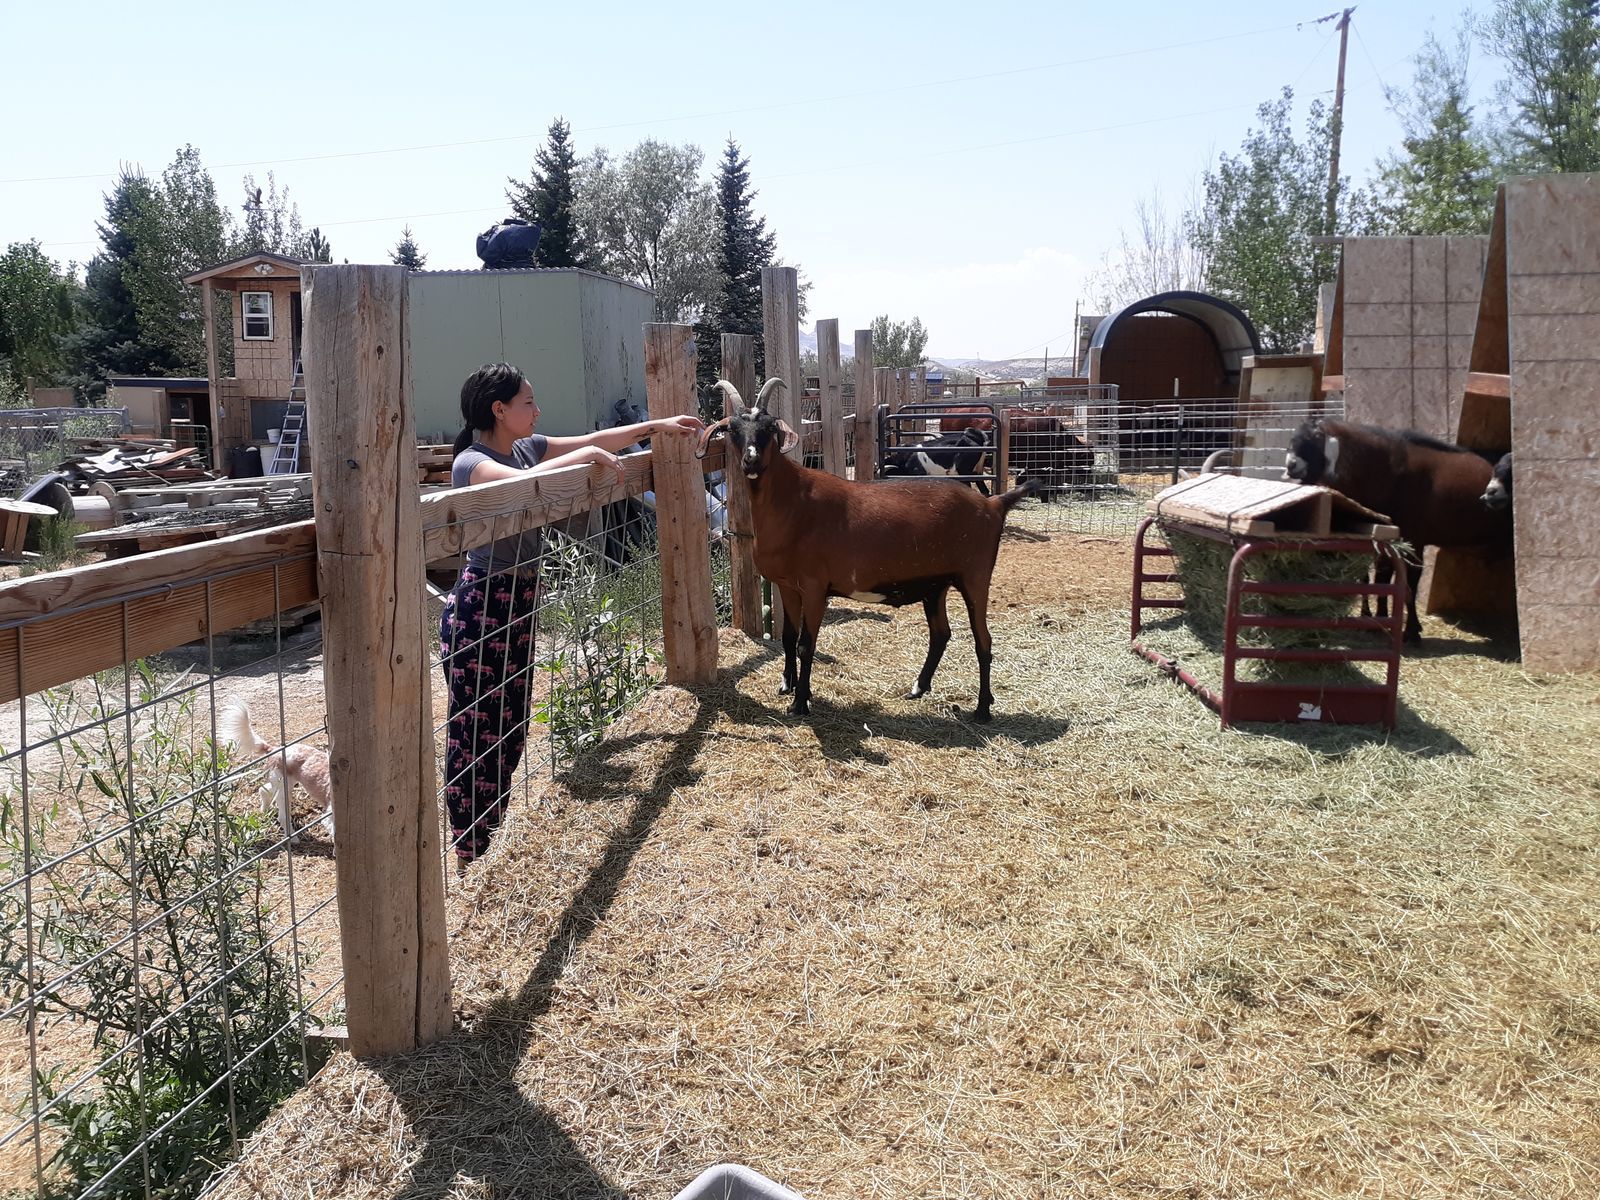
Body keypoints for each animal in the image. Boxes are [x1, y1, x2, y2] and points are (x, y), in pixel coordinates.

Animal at [218, 700, 334, 846]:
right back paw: (292, 838)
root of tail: (273, 749)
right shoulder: (330, 817)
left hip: (280, 783)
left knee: (263, 790)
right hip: (283, 788)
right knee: (282, 816)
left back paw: (264, 810)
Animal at [699, 378, 1036, 722]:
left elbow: (807, 644)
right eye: (733, 429)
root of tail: (993, 505)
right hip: (936, 584)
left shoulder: (815, 586)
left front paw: (801, 702)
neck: (793, 502)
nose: (751, 460)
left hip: (975, 575)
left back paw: (982, 709)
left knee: (983, 641)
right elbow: (788, 638)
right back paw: (918, 688)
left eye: (769, 427)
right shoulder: (788, 585)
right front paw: (787, 686)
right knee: (941, 634)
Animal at [1284, 419, 1512, 644]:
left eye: (1315, 438)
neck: (1390, 471)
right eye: (1293, 438)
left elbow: (1408, 582)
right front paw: (1379, 619)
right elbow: (1381, 575)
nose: (1291, 464)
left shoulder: (1414, 540)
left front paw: (1411, 630)